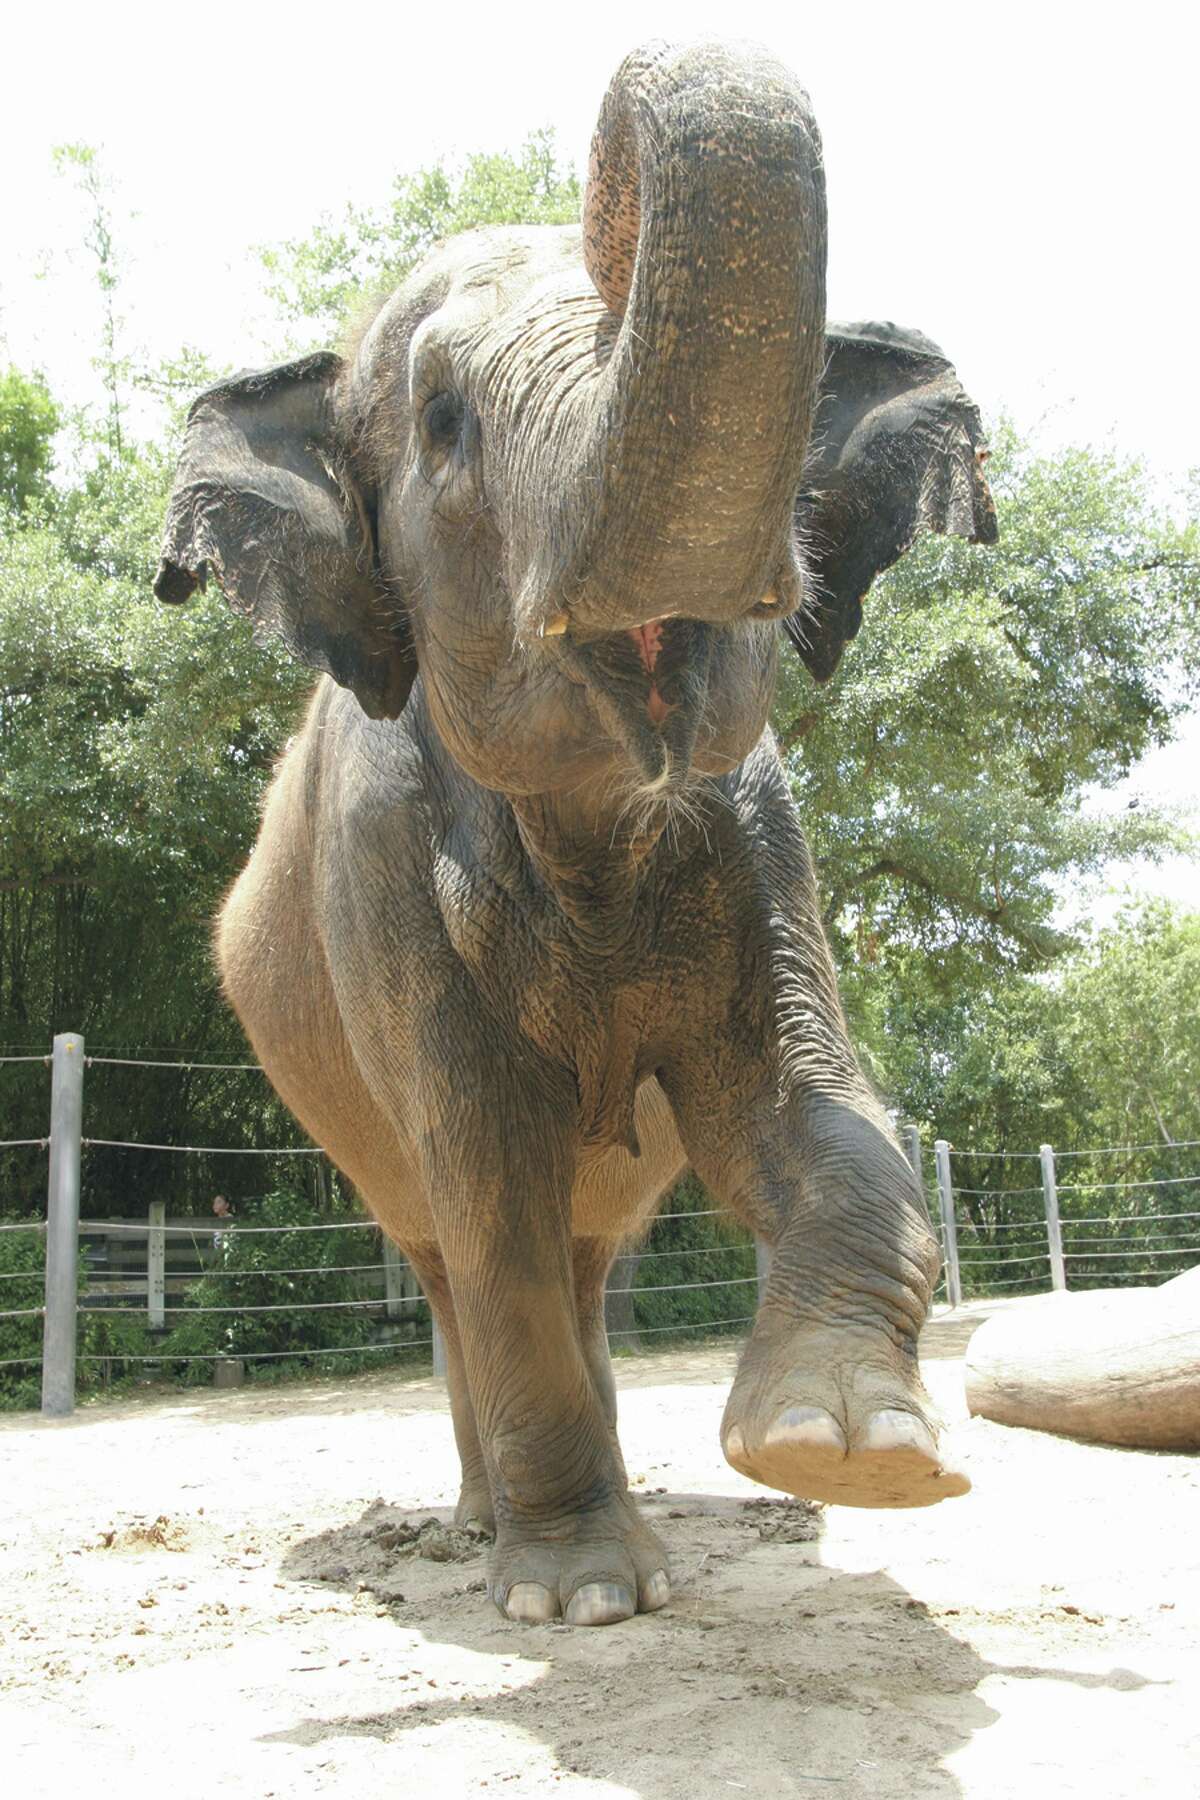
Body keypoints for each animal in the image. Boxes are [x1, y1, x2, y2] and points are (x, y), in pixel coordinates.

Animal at [154, 35, 993, 1634]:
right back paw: (495, 1533)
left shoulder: (754, 835)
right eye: (442, 422)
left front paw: (846, 1450)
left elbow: (808, 1109)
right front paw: (584, 1601)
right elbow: (487, 1176)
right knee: (455, 1256)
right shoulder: (379, 871)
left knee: (591, 1253)